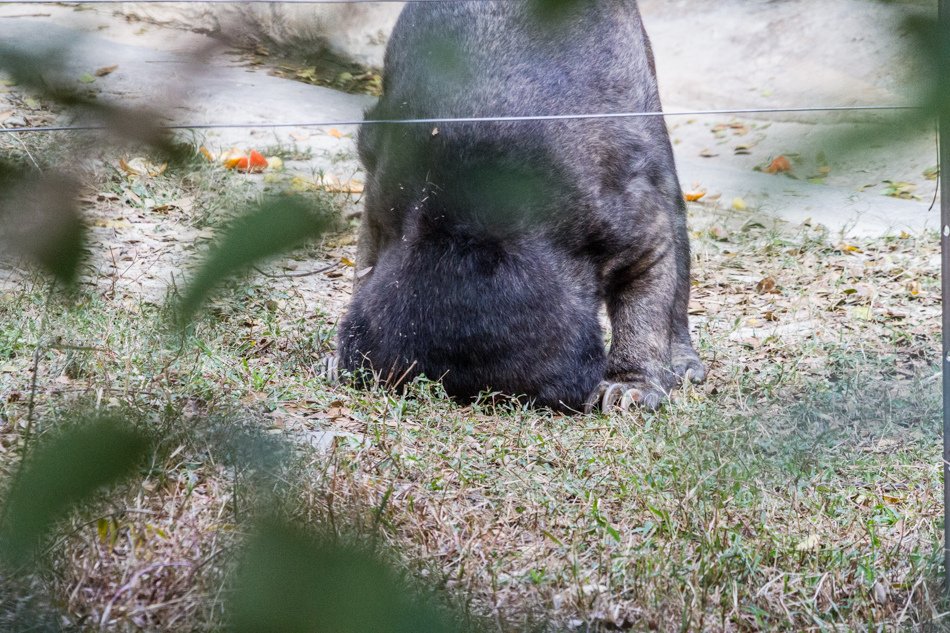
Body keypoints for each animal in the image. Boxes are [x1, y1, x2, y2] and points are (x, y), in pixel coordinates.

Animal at [338, 0, 704, 412]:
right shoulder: (385, 189)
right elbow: (369, 249)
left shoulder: (616, 207)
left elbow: (651, 261)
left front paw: (629, 388)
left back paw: (684, 365)